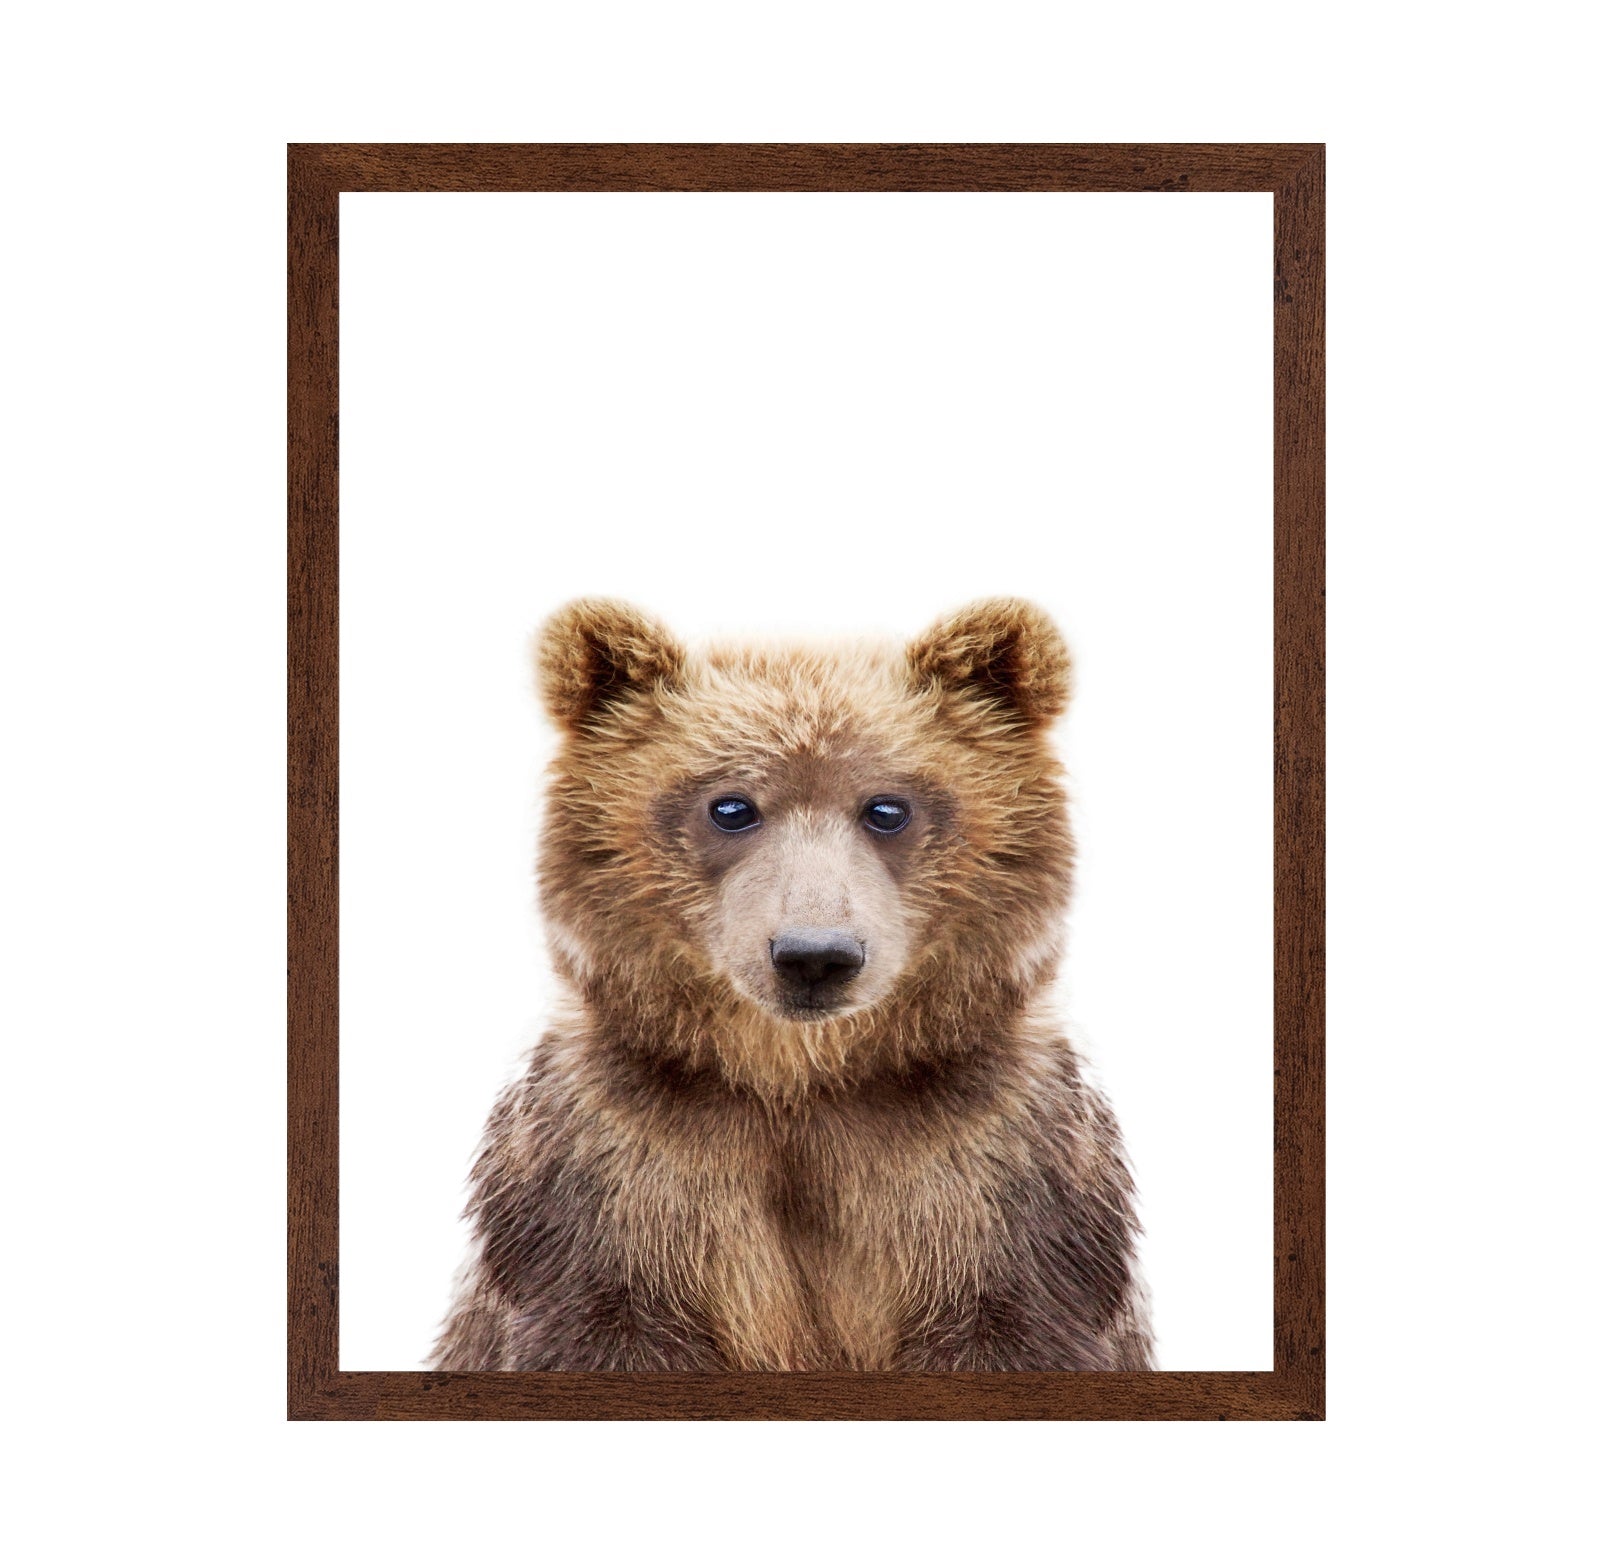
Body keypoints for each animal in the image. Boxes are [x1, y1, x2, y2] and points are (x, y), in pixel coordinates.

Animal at [429, 597, 1154, 1372]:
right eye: (731, 806)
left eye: (887, 807)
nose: (814, 955)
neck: (799, 1081)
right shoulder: (615, 1170)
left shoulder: (995, 1171)